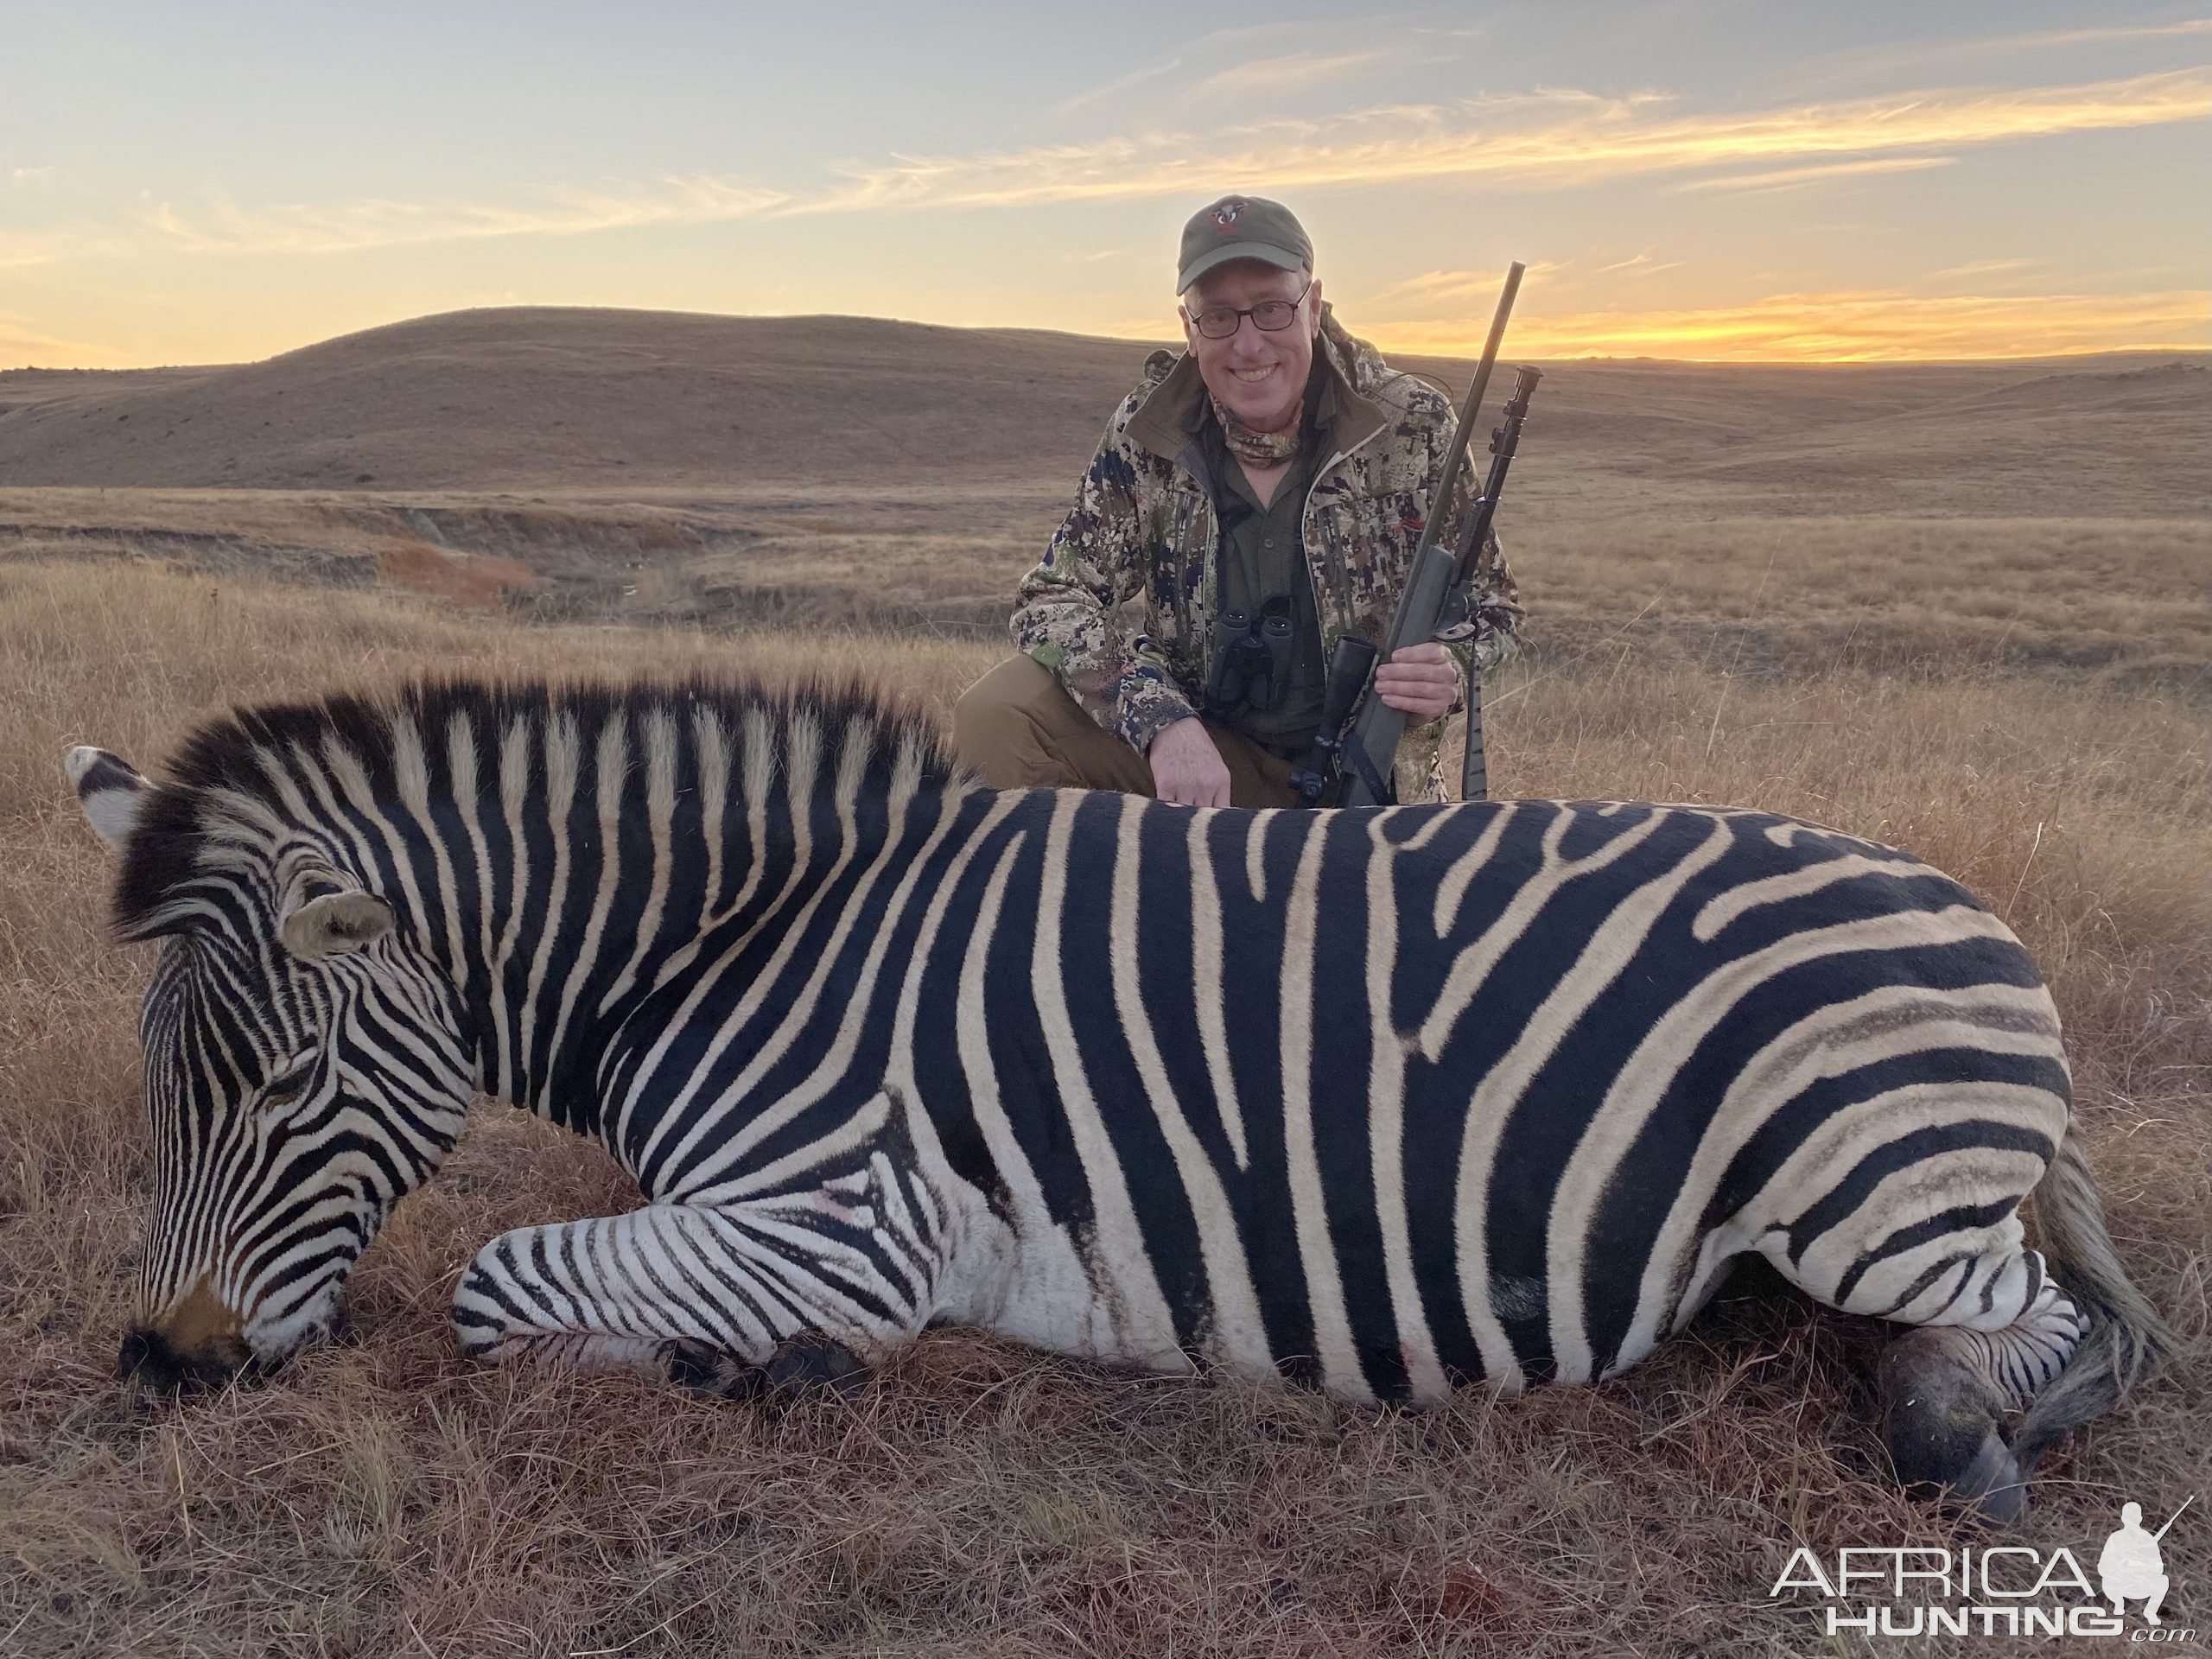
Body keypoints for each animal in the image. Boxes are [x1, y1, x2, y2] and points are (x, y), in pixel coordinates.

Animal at [60, 672, 2167, 1522]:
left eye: (276, 1078)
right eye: (162, 1081)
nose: (161, 1361)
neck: (744, 944)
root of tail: (1971, 911)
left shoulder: (846, 1221)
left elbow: (502, 1285)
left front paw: (765, 1369)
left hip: (1867, 1184)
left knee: (2063, 1337)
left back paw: (1957, 1435)